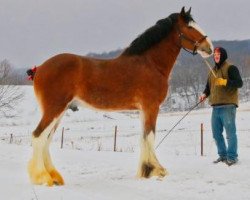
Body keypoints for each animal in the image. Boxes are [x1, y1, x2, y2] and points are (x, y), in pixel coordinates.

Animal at [26, 7, 213, 186]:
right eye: (189, 27)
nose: (209, 47)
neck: (150, 63)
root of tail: (40, 68)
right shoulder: (151, 107)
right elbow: (150, 136)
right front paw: (156, 170)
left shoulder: (143, 110)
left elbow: (143, 138)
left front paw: (145, 171)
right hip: (54, 109)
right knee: (38, 137)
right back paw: (44, 178)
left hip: (60, 111)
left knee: (46, 140)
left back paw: (54, 177)